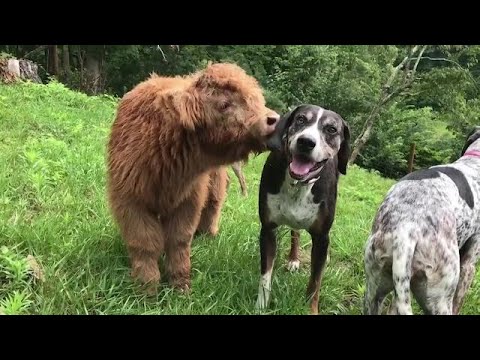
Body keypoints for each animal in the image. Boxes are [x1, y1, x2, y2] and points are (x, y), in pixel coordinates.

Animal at [253, 104, 350, 316]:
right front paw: (260, 306)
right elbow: (265, 275)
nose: (306, 142)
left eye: (332, 129)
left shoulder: (321, 237)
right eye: (300, 119)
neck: (298, 184)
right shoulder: (268, 229)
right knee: (295, 232)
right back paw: (293, 258)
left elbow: (315, 282)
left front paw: (310, 310)